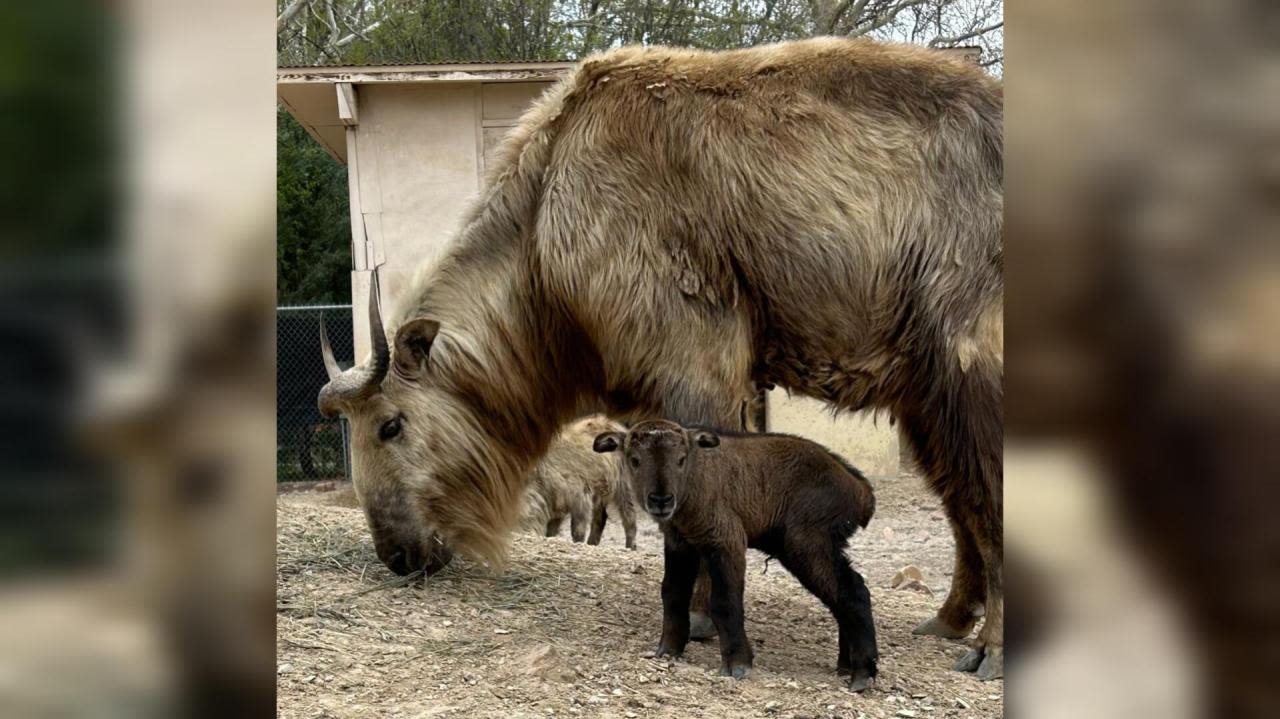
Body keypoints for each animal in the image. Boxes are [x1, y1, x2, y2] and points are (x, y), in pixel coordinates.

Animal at [522, 411, 637, 545]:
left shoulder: (580, 496)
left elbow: (578, 530)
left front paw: (578, 543)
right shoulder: (557, 503)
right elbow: (551, 530)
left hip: (623, 485)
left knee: (629, 518)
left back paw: (630, 545)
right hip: (601, 489)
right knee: (601, 518)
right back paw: (592, 543)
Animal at [591, 419, 875, 690]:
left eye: (681, 458)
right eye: (635, 459)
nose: (661, 500)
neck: (695, 478)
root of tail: (861, 489)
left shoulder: (727, 541)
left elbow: (724, 602)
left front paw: (737, 664)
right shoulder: (680, 542)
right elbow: (672, 593)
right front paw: (668, 649)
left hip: (805, 544)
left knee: (853, 592)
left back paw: (863, 674)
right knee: (842, 594)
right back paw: (847, 666)